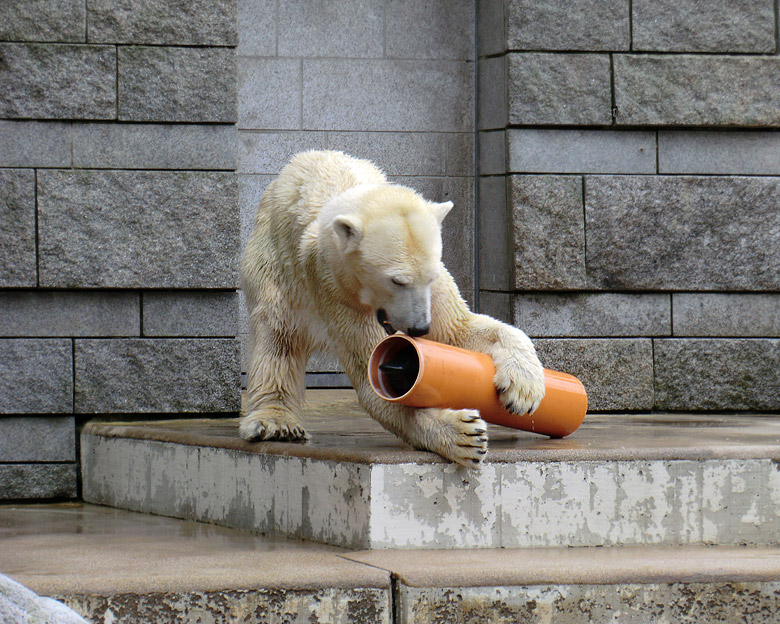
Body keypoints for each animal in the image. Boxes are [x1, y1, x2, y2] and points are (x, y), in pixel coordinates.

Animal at [241, 150, 544, 464]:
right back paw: (275, 422)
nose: (420, 327)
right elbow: (374, 378)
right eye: (397, 280)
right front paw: (463, 432)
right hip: (274, 267)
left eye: (430, 276)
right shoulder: (336, 290)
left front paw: (523, 390)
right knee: (278, 337)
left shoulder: (433, 292)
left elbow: (459, 331)